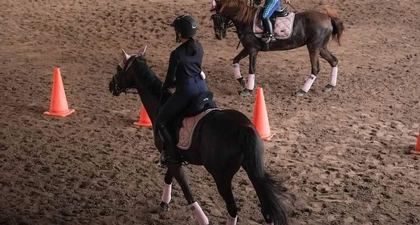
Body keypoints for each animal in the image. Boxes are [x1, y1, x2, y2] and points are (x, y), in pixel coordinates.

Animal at [108, 46, 294, 224]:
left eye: (118, 68)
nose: (111, 86)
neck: (159, 104)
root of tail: (244, 129)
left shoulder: (172, 159)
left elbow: (187, 191)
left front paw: (201, 218)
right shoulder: (173, 158)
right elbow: (169, 178)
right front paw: (164, 203)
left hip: (221, 177)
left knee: (233, 207)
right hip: (253, 170)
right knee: (266, 210)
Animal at [212, 0, 342, 96]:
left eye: (217, 17)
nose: (218, 35)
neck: (246, 20)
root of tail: (328, 18)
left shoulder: (253, 49)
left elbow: (252, 68)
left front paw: (248, 90)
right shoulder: (247, 48)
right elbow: (235, 60)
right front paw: (241, 80)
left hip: (314, 47)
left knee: (315, 68)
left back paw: (302, 91)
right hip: (321, 48)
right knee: (334, 61)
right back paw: (330, 86)